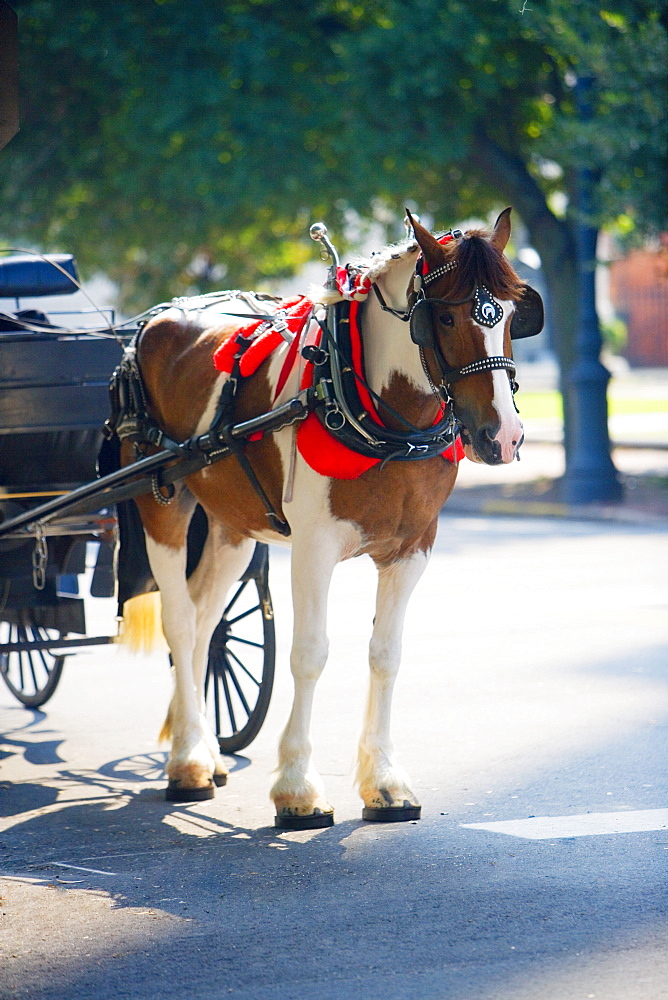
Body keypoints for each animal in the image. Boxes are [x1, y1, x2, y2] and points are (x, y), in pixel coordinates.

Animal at [121, 207, 544, 824]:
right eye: (443, 317)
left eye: (513, 312)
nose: (503, 436)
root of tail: (157, 320)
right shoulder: (313, 547)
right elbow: (310, 654)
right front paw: (297, 787)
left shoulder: (412, 548)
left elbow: (386, 655)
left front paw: (385, 781)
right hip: (164, 502)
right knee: (179, 621)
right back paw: (188, 762)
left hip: (232, 526)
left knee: (204, 620)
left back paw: (200, 744)